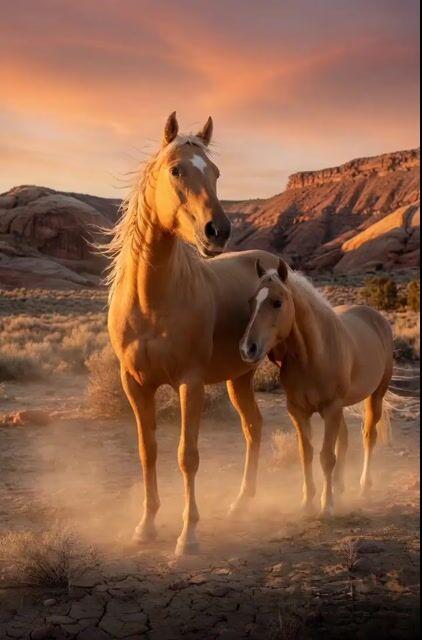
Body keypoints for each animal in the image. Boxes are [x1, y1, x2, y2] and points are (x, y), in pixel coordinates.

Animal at [106, 112, 282, 555]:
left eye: (216, 172)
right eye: (176, 170)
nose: (217, 230)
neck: (152, 302)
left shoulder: (191, 382)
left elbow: (188, 455)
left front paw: (188, 535)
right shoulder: (135, 384)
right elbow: (147, 451)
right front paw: (146, 525)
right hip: (241, 377)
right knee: (253, 427)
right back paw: (242, 502)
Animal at [239, 259, 393, 516]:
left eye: (277, 302)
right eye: (251, 301)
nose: (247, 348)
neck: (313, 357)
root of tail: (376, 317)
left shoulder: (331, 408)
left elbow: (326, 457)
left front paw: (326, 504)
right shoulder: (298, 411)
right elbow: (307, 453)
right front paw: (307, 501)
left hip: (375, 396)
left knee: (368, 436)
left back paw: (363, 487)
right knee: (344, 437)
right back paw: (340, 486)